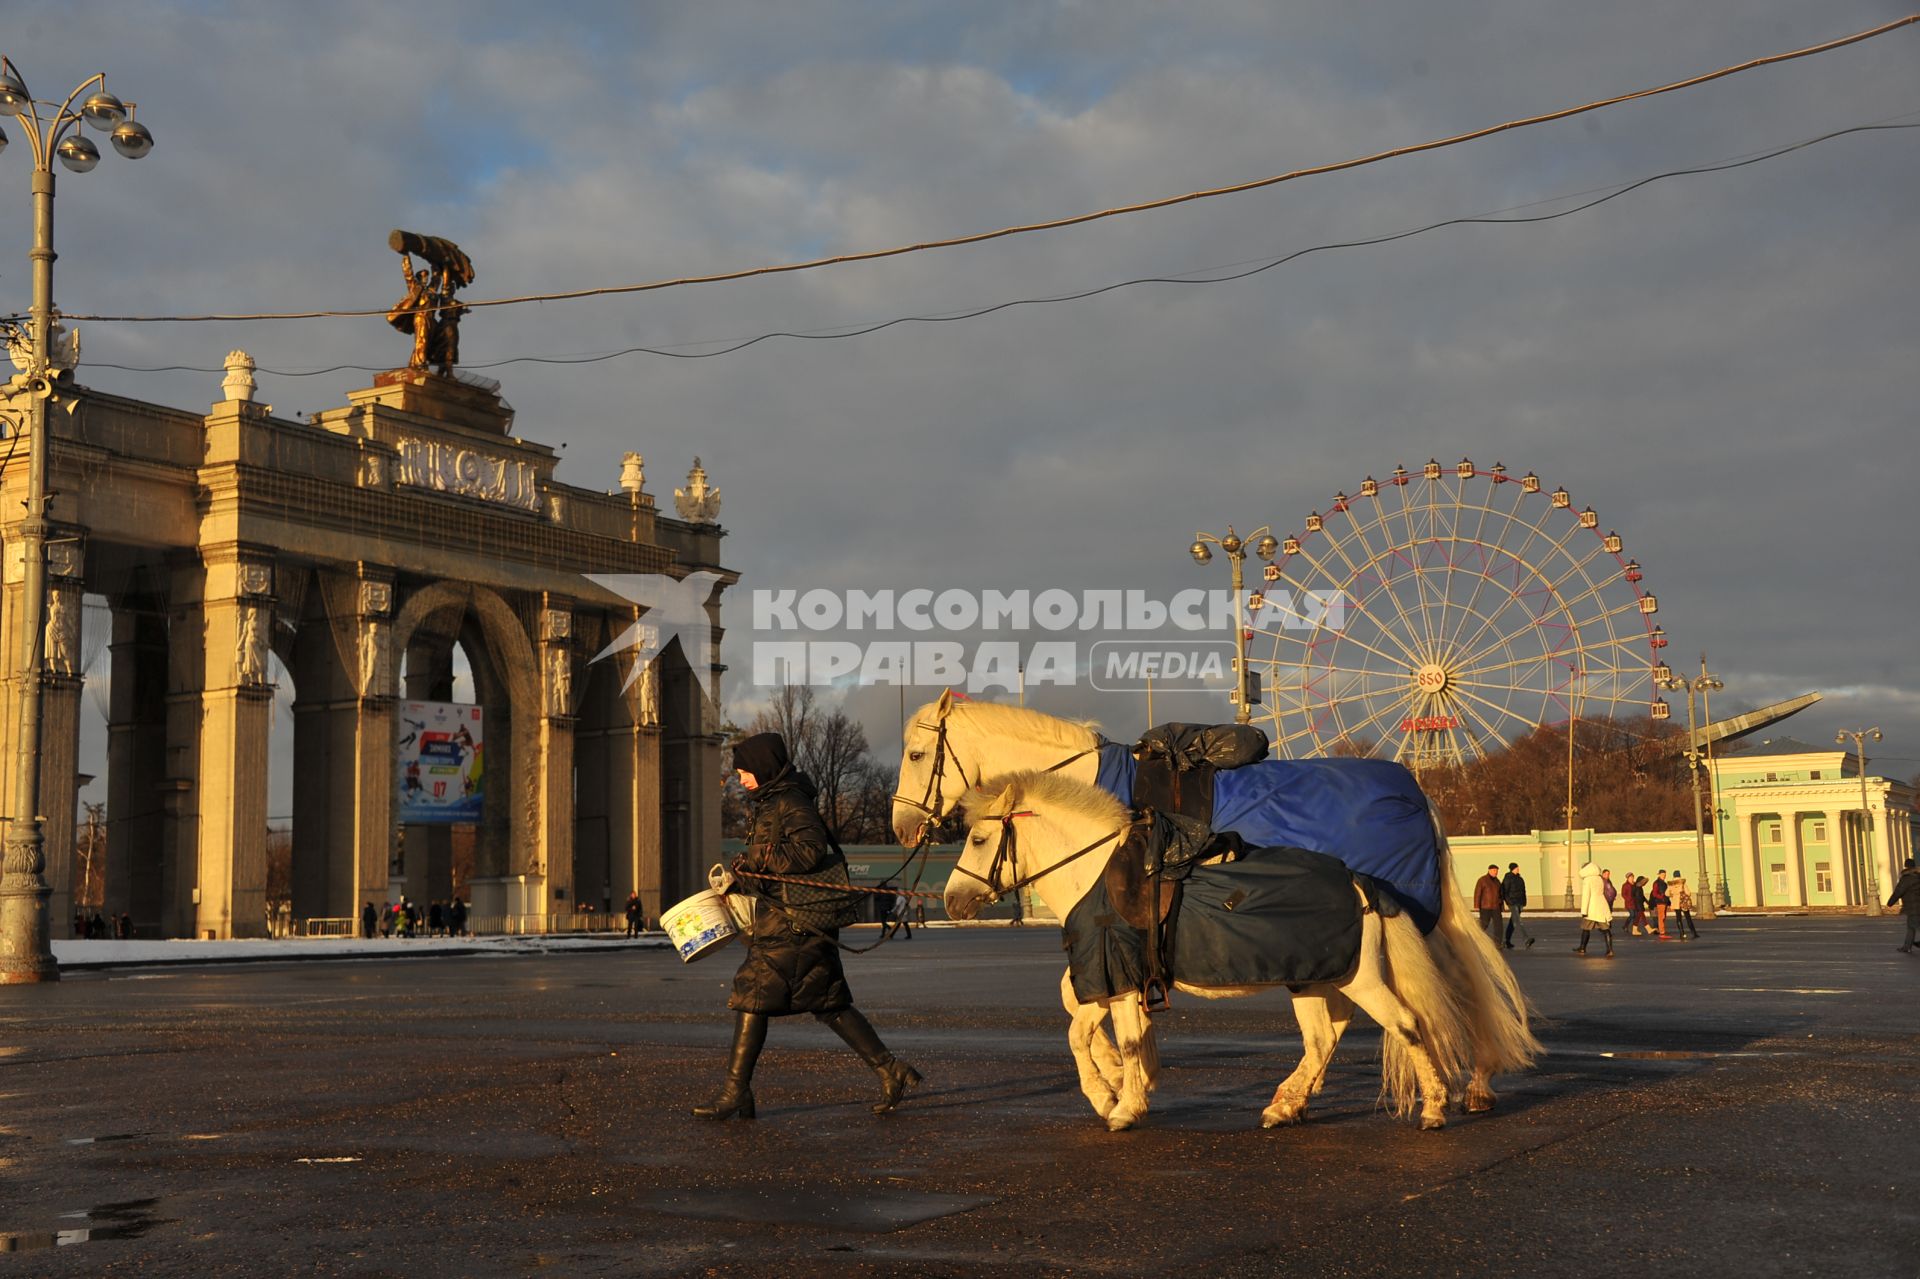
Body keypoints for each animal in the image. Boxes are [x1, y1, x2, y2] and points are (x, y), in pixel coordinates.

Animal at [890, 691, 1536, 1121]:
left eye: (918, 754)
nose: (900, 827)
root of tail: (1419, 791)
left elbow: (1081, 1004)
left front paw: (1122, 1076)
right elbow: (1082, 1003)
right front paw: (1126, 1072)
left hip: (1403, 922)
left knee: (1446, 991)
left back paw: (1467, 1083)